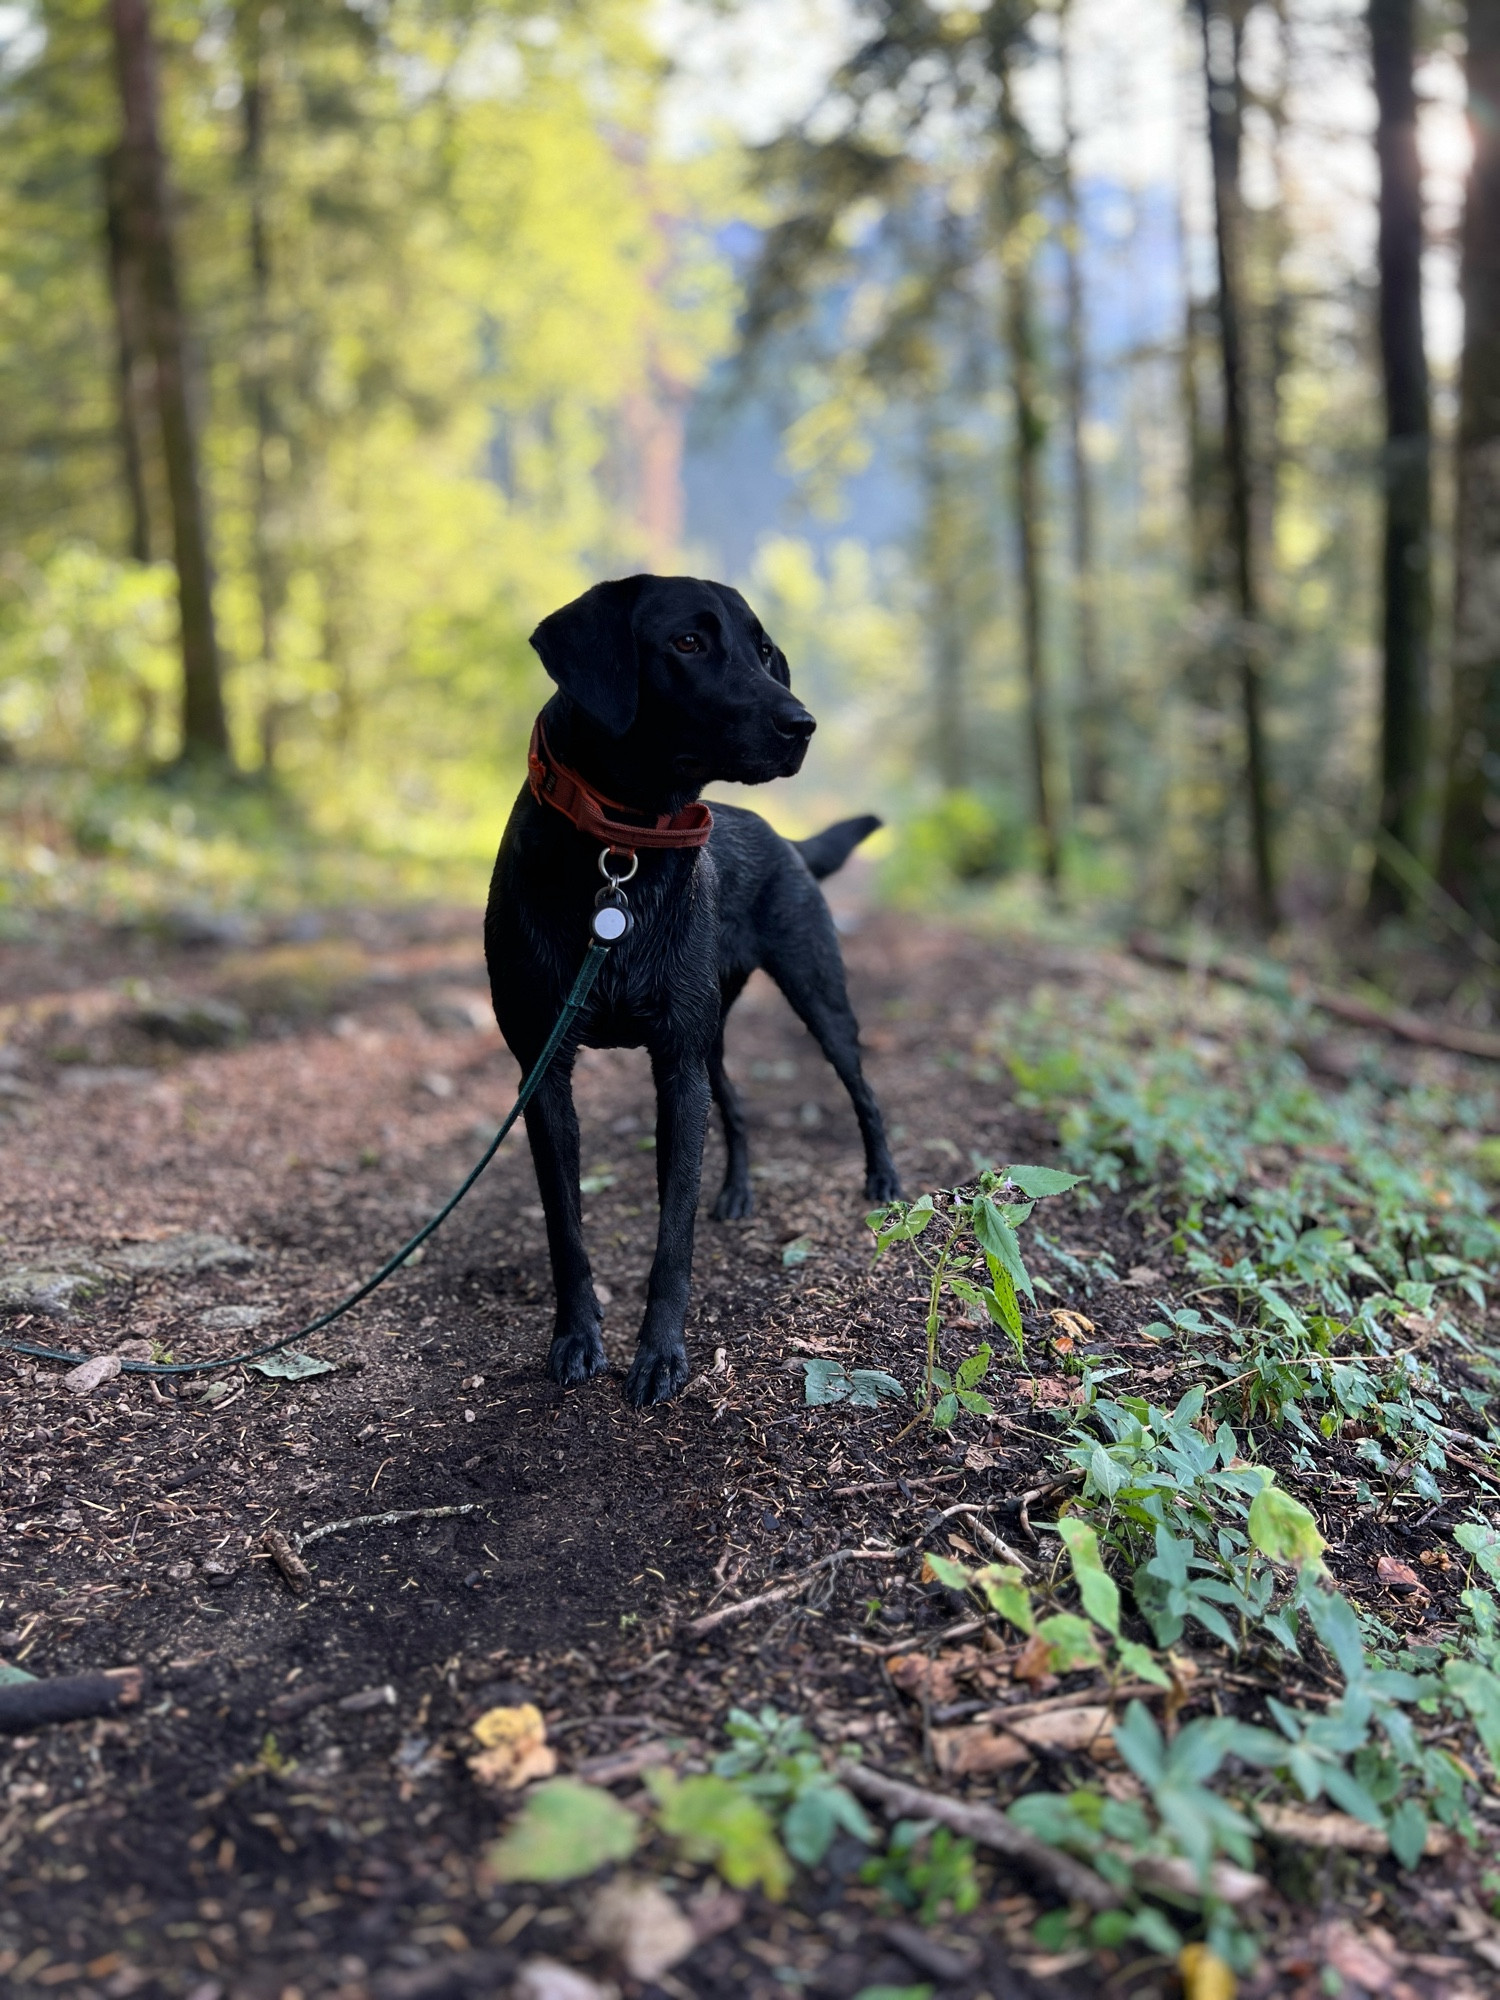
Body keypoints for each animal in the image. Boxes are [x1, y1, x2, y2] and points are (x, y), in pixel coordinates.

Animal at [488, 572, 900, 1400]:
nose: (802, 724)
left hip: (816, 1000)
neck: (622, 850)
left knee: (863, 1091)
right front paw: (576, 1337)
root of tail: (785, 838)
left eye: (765, 651)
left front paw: (661, 1356)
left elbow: (670, 1235)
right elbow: (565, 1229)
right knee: (737, 1105)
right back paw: (738, 1192)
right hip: (712, 1034)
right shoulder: (545, 1072)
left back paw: (882, 1178)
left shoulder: (675, 1066)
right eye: (687, 641)